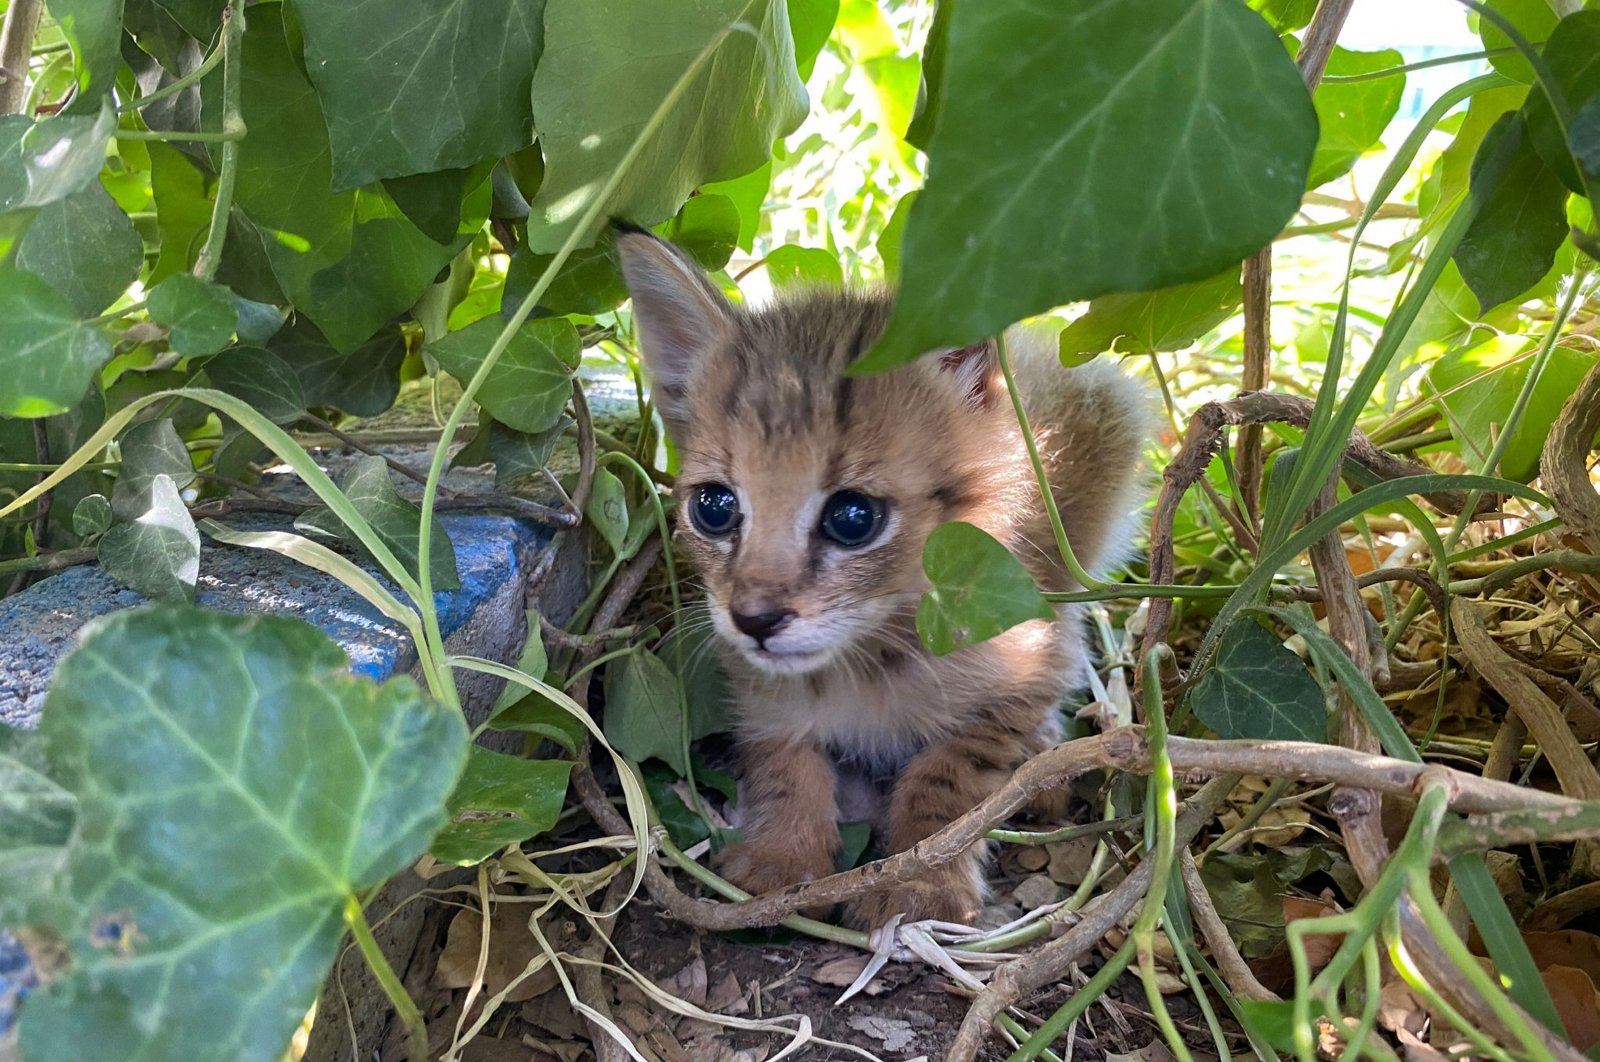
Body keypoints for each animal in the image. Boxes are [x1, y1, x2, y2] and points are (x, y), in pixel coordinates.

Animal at [617, 231, 1158, 927]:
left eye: (854, 518)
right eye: (713, 507)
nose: (754, 619)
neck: (867, 657)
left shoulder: (1026, 662)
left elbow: (952, 775)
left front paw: (920, 881)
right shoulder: (757, 687)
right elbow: (780, 754)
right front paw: (784, 853)